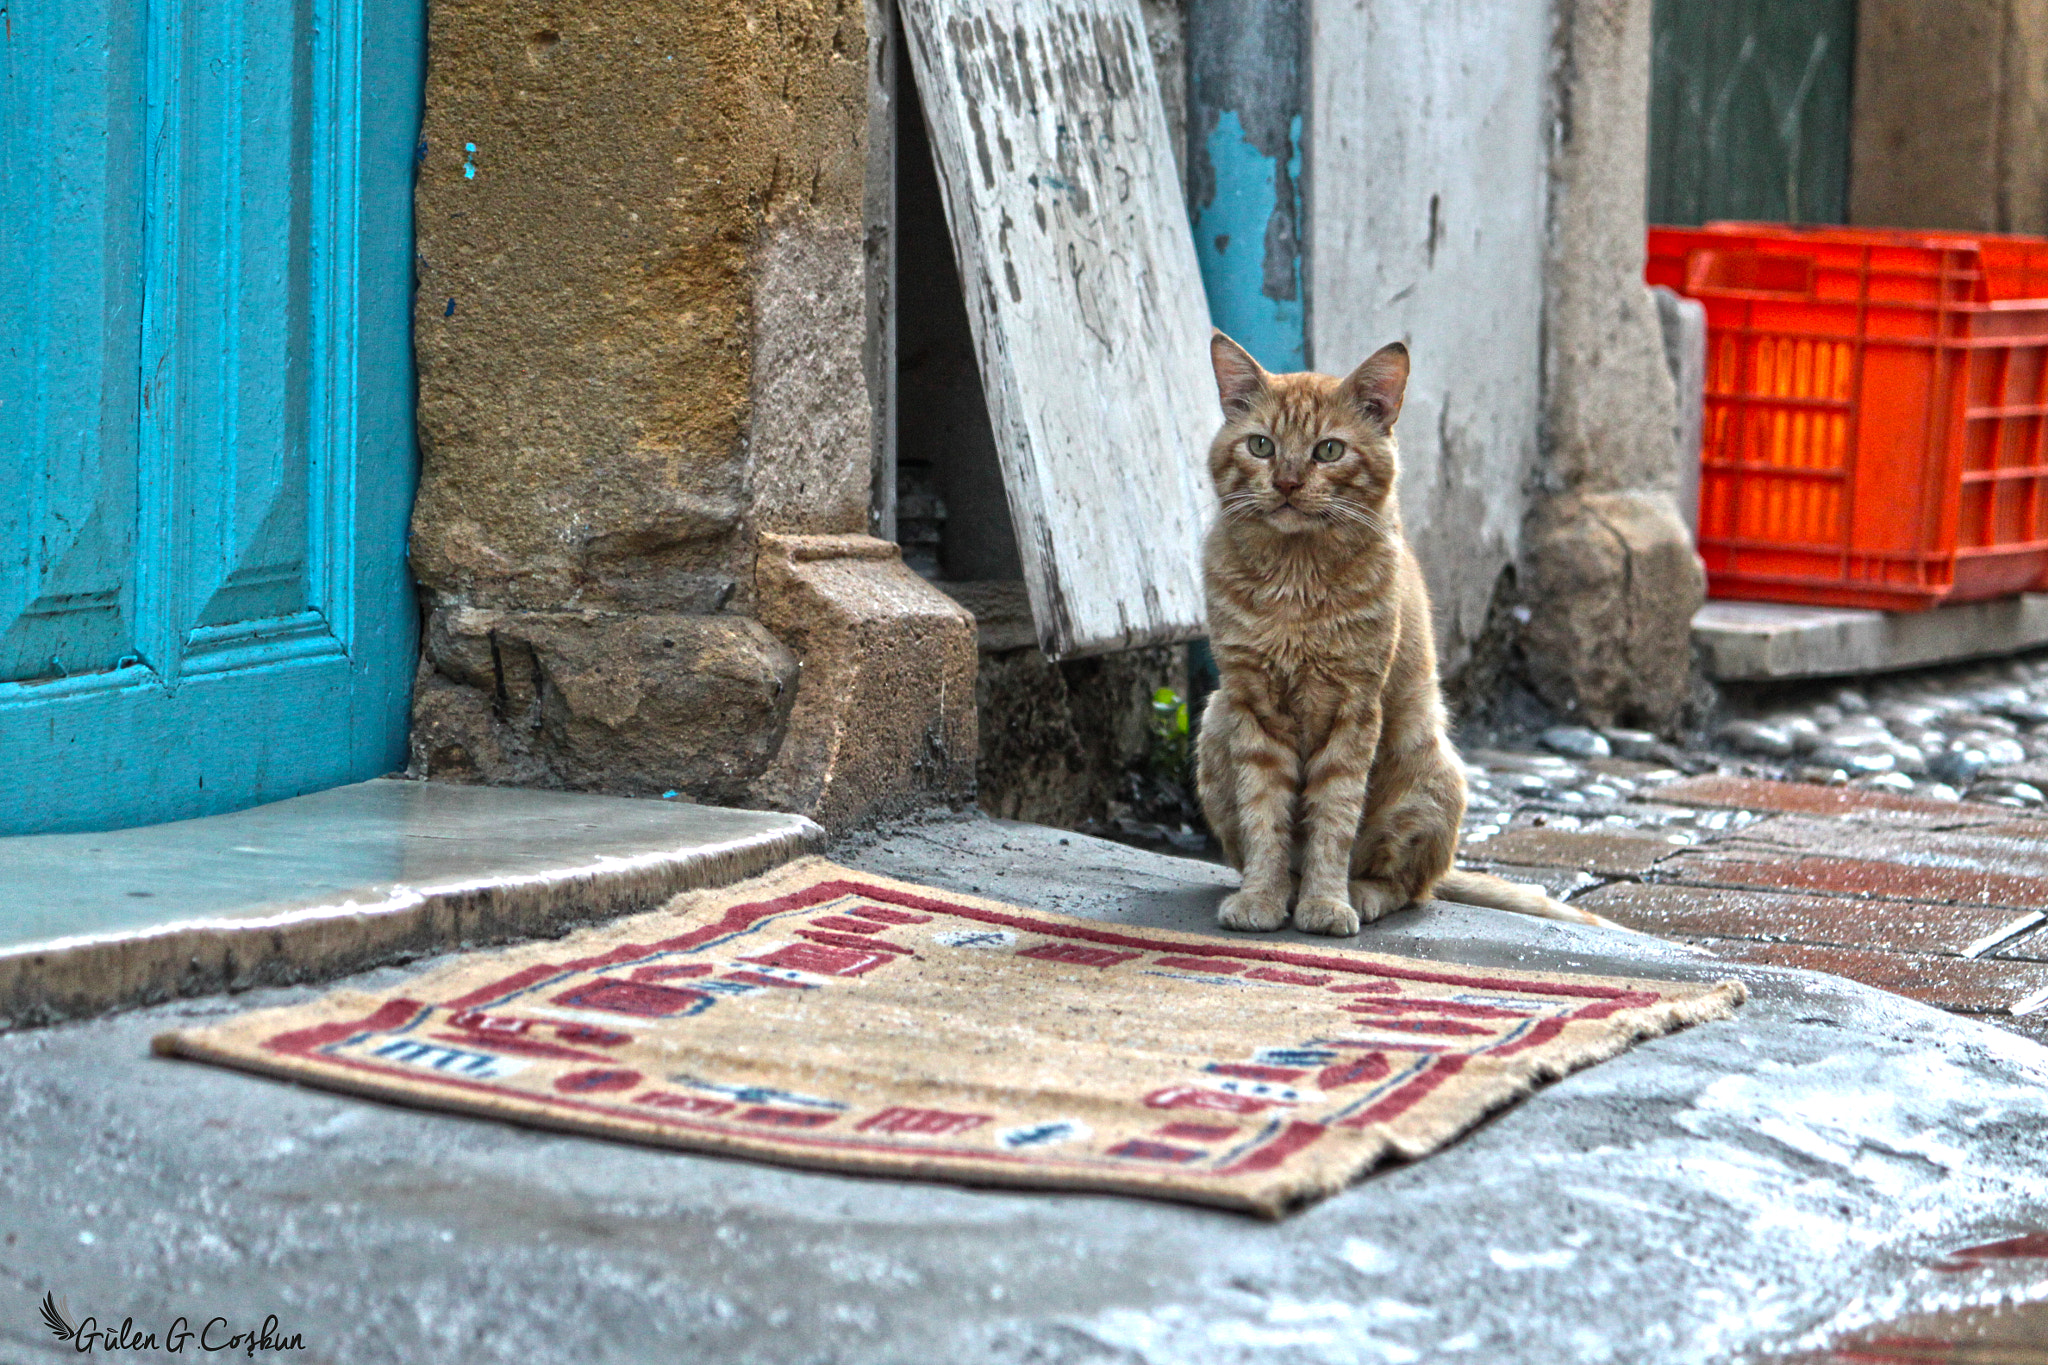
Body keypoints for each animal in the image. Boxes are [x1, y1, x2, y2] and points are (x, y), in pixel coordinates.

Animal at [1196, 331, 1613, 933]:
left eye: (1328, 450)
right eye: (1261, 446)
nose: (1287, 482)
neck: (1295, 582)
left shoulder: (1354, 707)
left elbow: (1333, 818)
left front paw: (1326, 903)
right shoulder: (1251, 704)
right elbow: (1265, 817)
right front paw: (1262, 896)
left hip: (1426, 773)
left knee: (1411, 887)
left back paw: (1359, 894)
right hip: (1214, 724)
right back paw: (1290, 889)